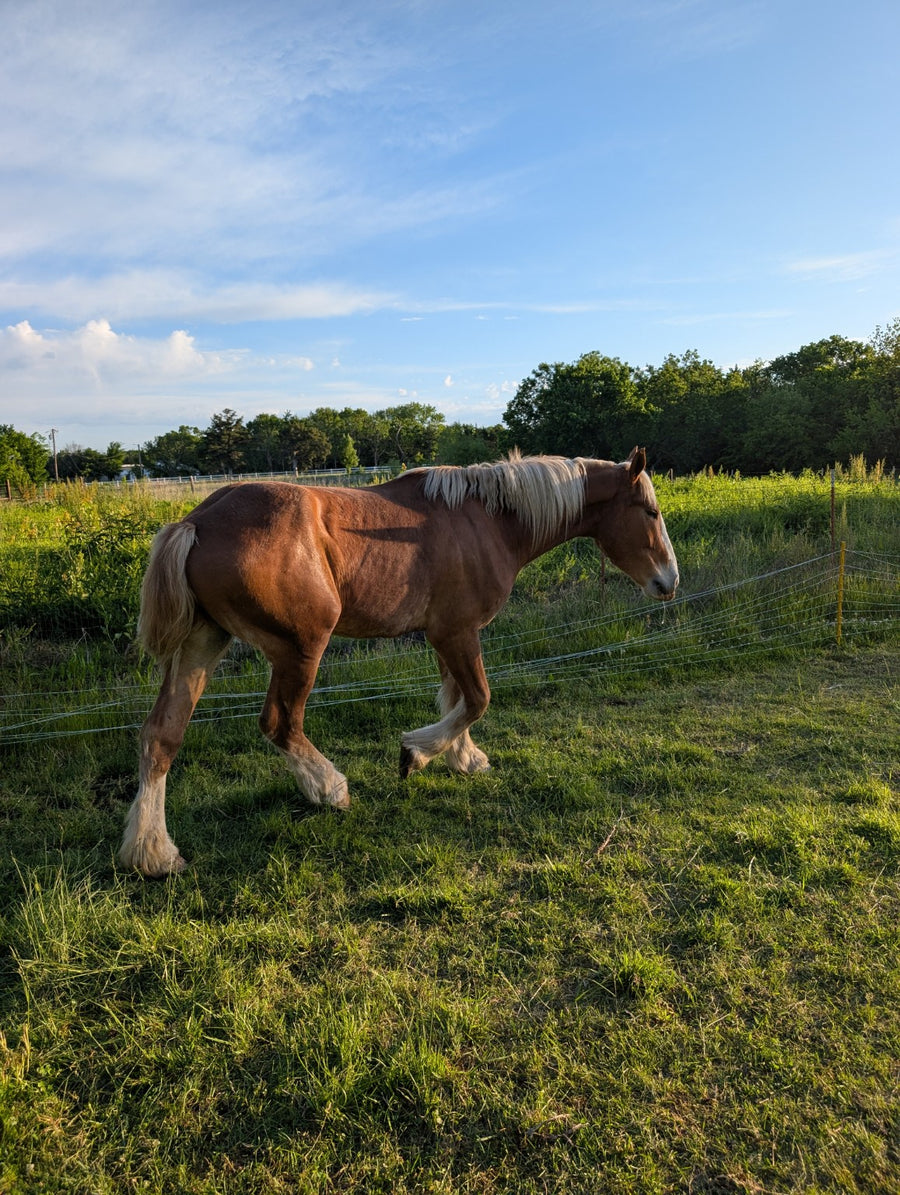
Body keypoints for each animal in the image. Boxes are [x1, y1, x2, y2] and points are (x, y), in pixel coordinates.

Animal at [119, 448, 678, 877]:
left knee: (161, 735)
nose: (668, 582)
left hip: (202, 644)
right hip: (300, 648)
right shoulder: (456, 632)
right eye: (650, 513)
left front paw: (462, 757)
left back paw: (152, 852)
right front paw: (418, 753)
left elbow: (455, 698)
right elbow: (477, 698)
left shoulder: (447, 636)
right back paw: (330, 788)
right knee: (280, 723)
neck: (489, 520)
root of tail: (196, 522)